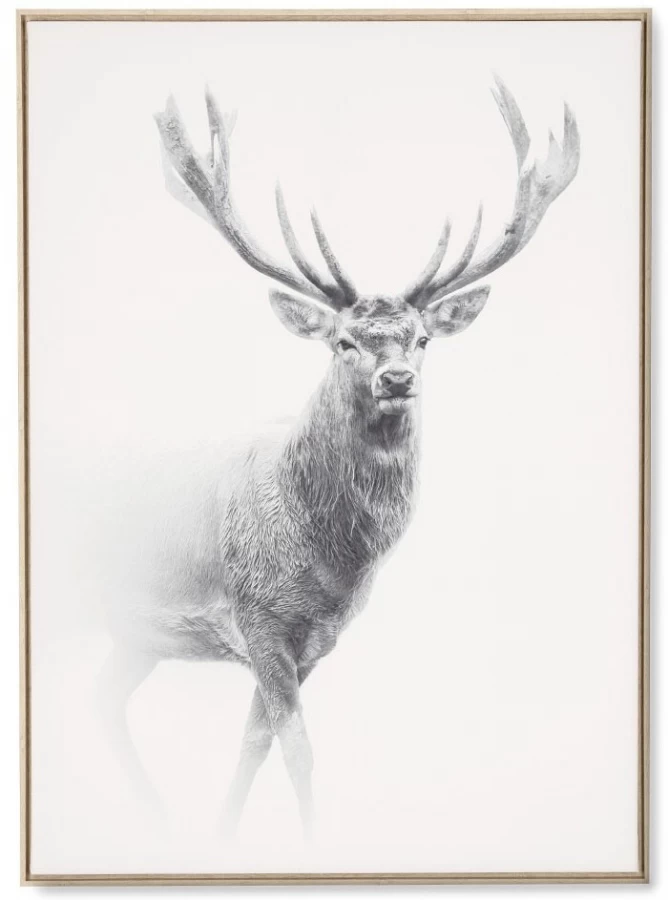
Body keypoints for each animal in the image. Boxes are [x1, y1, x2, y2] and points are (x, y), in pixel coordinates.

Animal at [96, 77, 579, 840]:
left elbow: (256, 743)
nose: (397, 379)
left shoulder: (313, 640)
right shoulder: (257, 616)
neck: (326, 560)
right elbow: (297, 749)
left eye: (421, 339)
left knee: (101, 701)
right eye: (344, 342)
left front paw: (222, 837)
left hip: (135, 635)